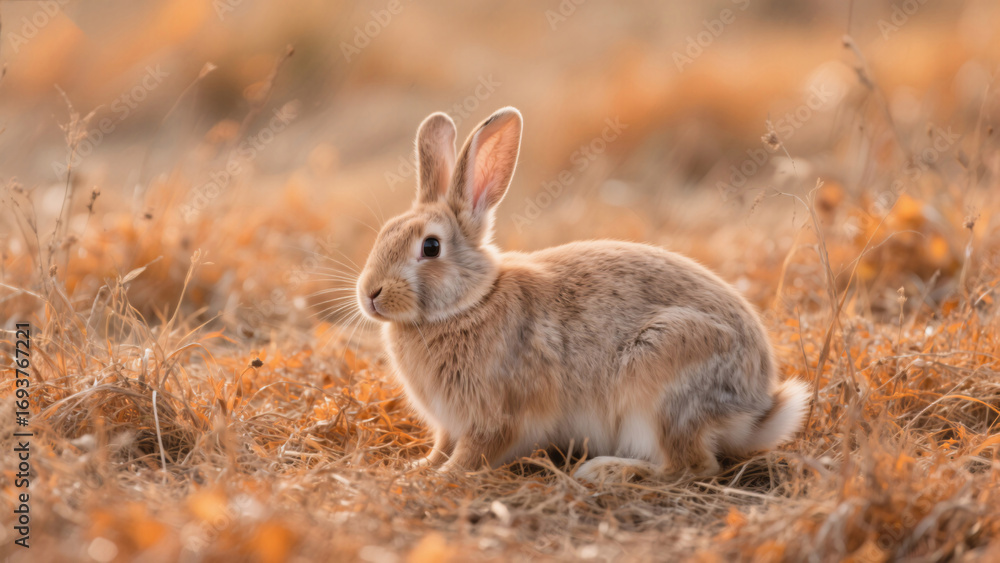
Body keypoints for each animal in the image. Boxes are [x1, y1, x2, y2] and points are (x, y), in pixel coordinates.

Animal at [355, 106, 809, 482]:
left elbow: (472, 454)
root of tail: (757, 407)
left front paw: (438, 477)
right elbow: (441, 446)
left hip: (661, 381)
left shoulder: (495, 417)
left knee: (692, 466)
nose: (370, 294)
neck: (470, 303)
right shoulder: (448, 425)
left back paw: (607, 471)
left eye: (430, 247)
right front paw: (417, 466)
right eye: (383, 234)